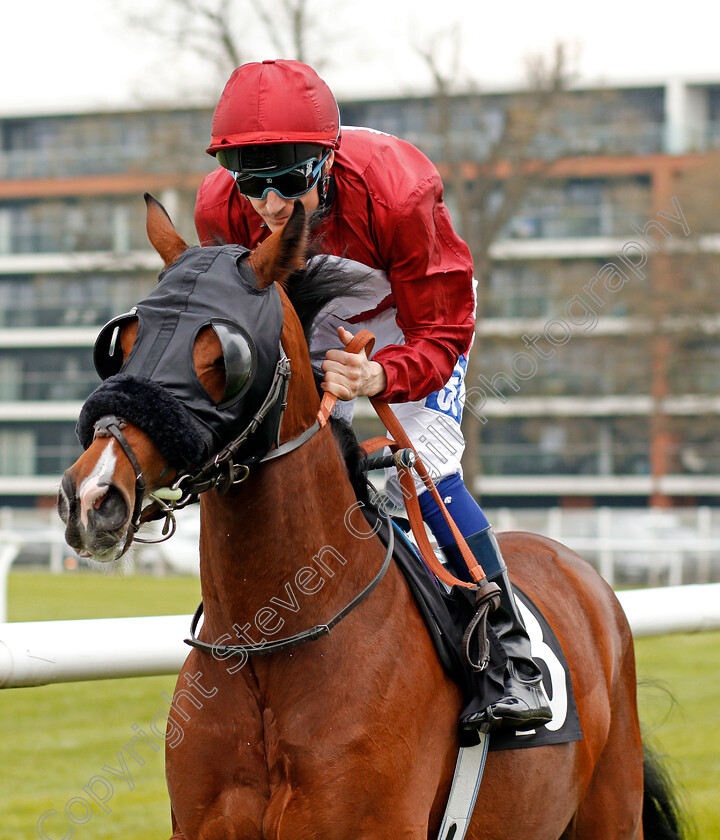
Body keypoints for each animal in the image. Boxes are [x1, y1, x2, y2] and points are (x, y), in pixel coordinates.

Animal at [56, 195, 680, 840]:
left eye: (224, 355)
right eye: (121, 341)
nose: (93, 496)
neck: (268, 651)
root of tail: (577, 568)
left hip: (613, 806)